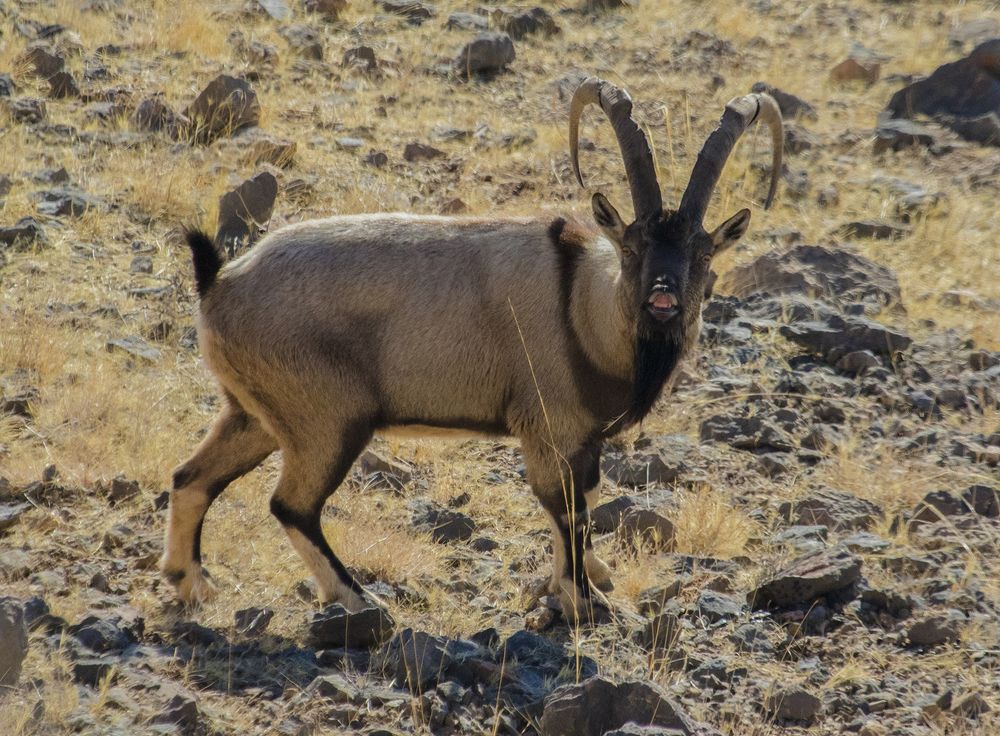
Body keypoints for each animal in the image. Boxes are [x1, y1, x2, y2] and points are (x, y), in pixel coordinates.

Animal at [161, 77, 782, 623]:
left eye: (702, 253)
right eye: (632, 247)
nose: (663, 297)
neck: (582, 307)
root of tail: (218, 284)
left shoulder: (582, 444)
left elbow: (582, 506)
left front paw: (585, 582)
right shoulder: (548, 431)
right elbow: (566, 511)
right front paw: (583, 603)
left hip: (255, 417)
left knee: (191, 478)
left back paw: (192, 585)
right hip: (328, 423)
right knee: (291, 505)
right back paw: (360, 601)